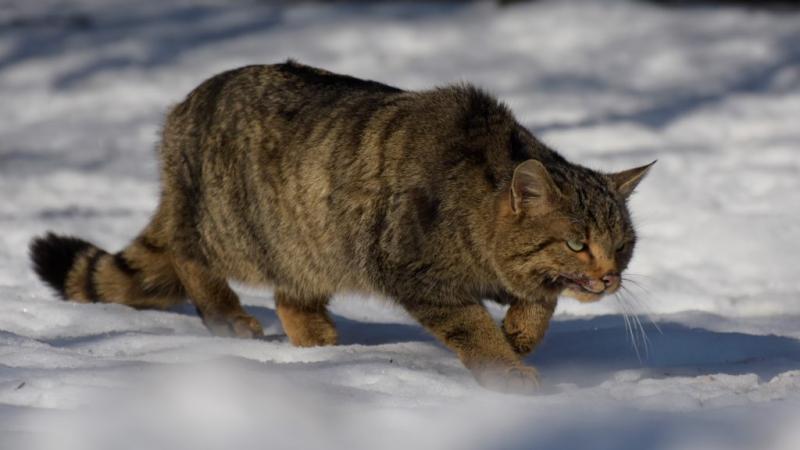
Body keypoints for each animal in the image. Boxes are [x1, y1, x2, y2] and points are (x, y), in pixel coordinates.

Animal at [32, 60, 656, 394]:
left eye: (623, 246)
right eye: (578, 243)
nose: (608, 278)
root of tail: (182, 110)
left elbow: (538, 306)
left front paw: (520, 335)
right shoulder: (416, 271)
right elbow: (473, 327)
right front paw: (505, 366)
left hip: (310, 249)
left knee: (290, 297)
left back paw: (321, 347)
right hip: (233, 230)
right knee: (189, 254)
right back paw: (229, 316)